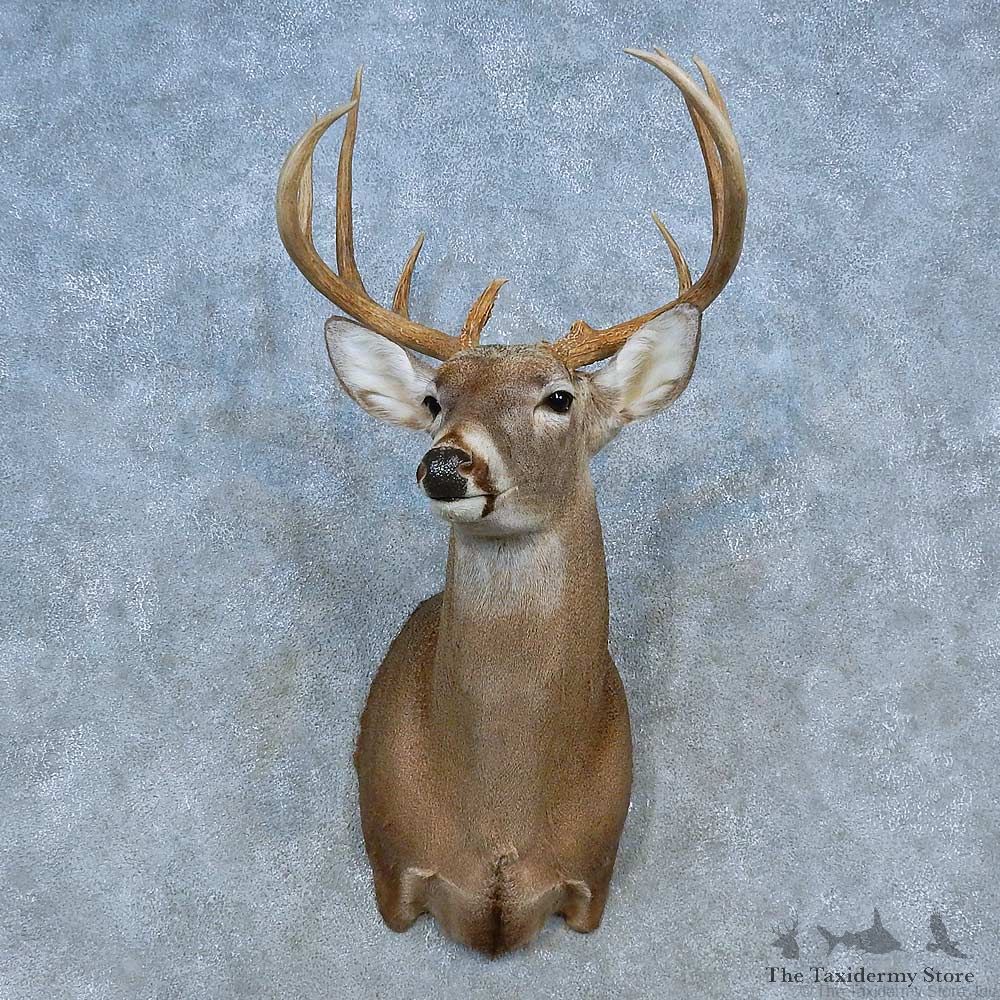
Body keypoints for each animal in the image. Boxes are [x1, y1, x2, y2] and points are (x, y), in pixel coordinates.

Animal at [276, 46, 746, 957]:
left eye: (559, 398)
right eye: (436, 399)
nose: (444, 464)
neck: (501, 821)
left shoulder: (594, 881)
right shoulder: (393, 871)